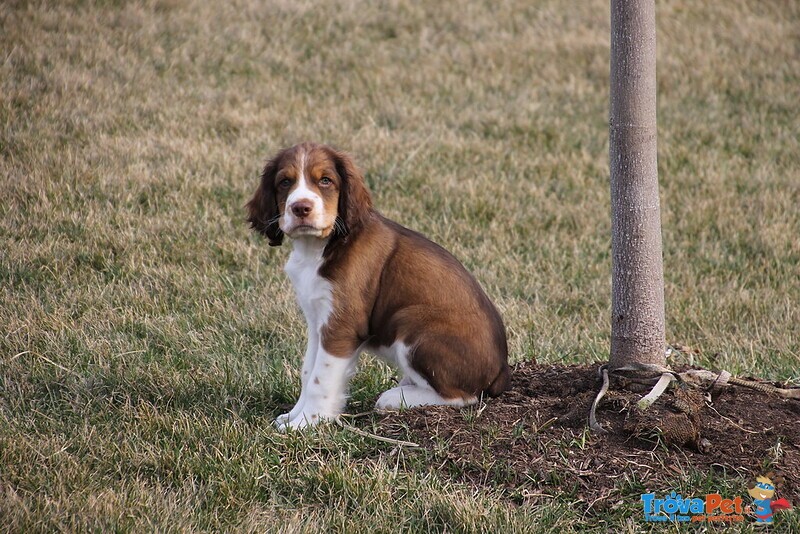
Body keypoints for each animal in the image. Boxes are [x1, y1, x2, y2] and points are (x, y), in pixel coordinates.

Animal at [245, 142, 512, 432]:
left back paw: (396, 397)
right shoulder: (318, 320)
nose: (301, 208)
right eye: (285, 182)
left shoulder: (342, 325)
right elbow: (309, 370)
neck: (322, 246)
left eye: (325, 180)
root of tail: (502, 372)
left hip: (410, 321)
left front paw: (306, 424)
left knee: (463, 396)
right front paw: (293, 415)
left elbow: (320, 378)